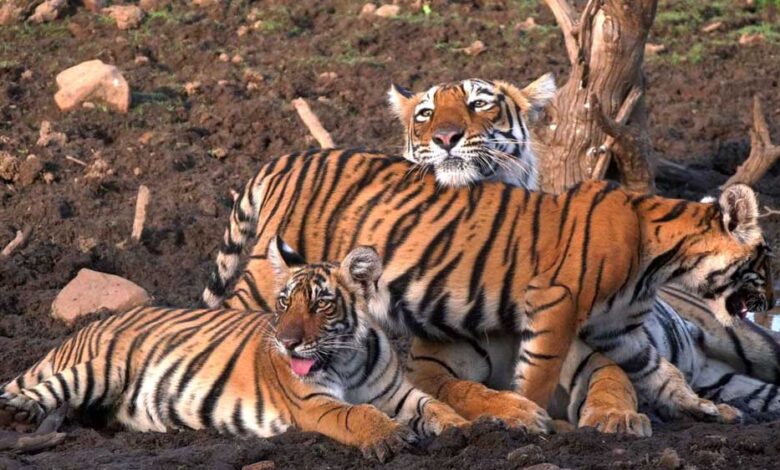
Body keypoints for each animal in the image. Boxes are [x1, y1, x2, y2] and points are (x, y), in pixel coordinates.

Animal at [0, 240, 467, 462]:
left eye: (321, 304)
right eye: (284, 303)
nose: (287, 342)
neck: (347, 358)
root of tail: (87, 326)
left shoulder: (396, 392)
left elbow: (434, 406)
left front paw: (464, 429)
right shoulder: (314, 404)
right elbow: (357, 415)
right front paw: (390, 436)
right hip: (99, 368)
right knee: (37, 392)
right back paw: (19, 414)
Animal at [201, 148, 772, 435]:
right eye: (766, 261)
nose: (772, 303)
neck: (661, 260)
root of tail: (285, 159)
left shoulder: (620, 333)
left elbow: (662, 372)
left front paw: (702, 409)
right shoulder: (555, 303)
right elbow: (536, 377)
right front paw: (533, 421)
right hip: (265, 279)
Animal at [385, 78, 780, 426]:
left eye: (479, 103)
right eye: (425, 113)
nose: (444, 138)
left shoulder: (583, 346)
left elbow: (610, 379)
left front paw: (615, 417)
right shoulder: (428, 366)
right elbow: (464, 391)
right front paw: (515, 412)